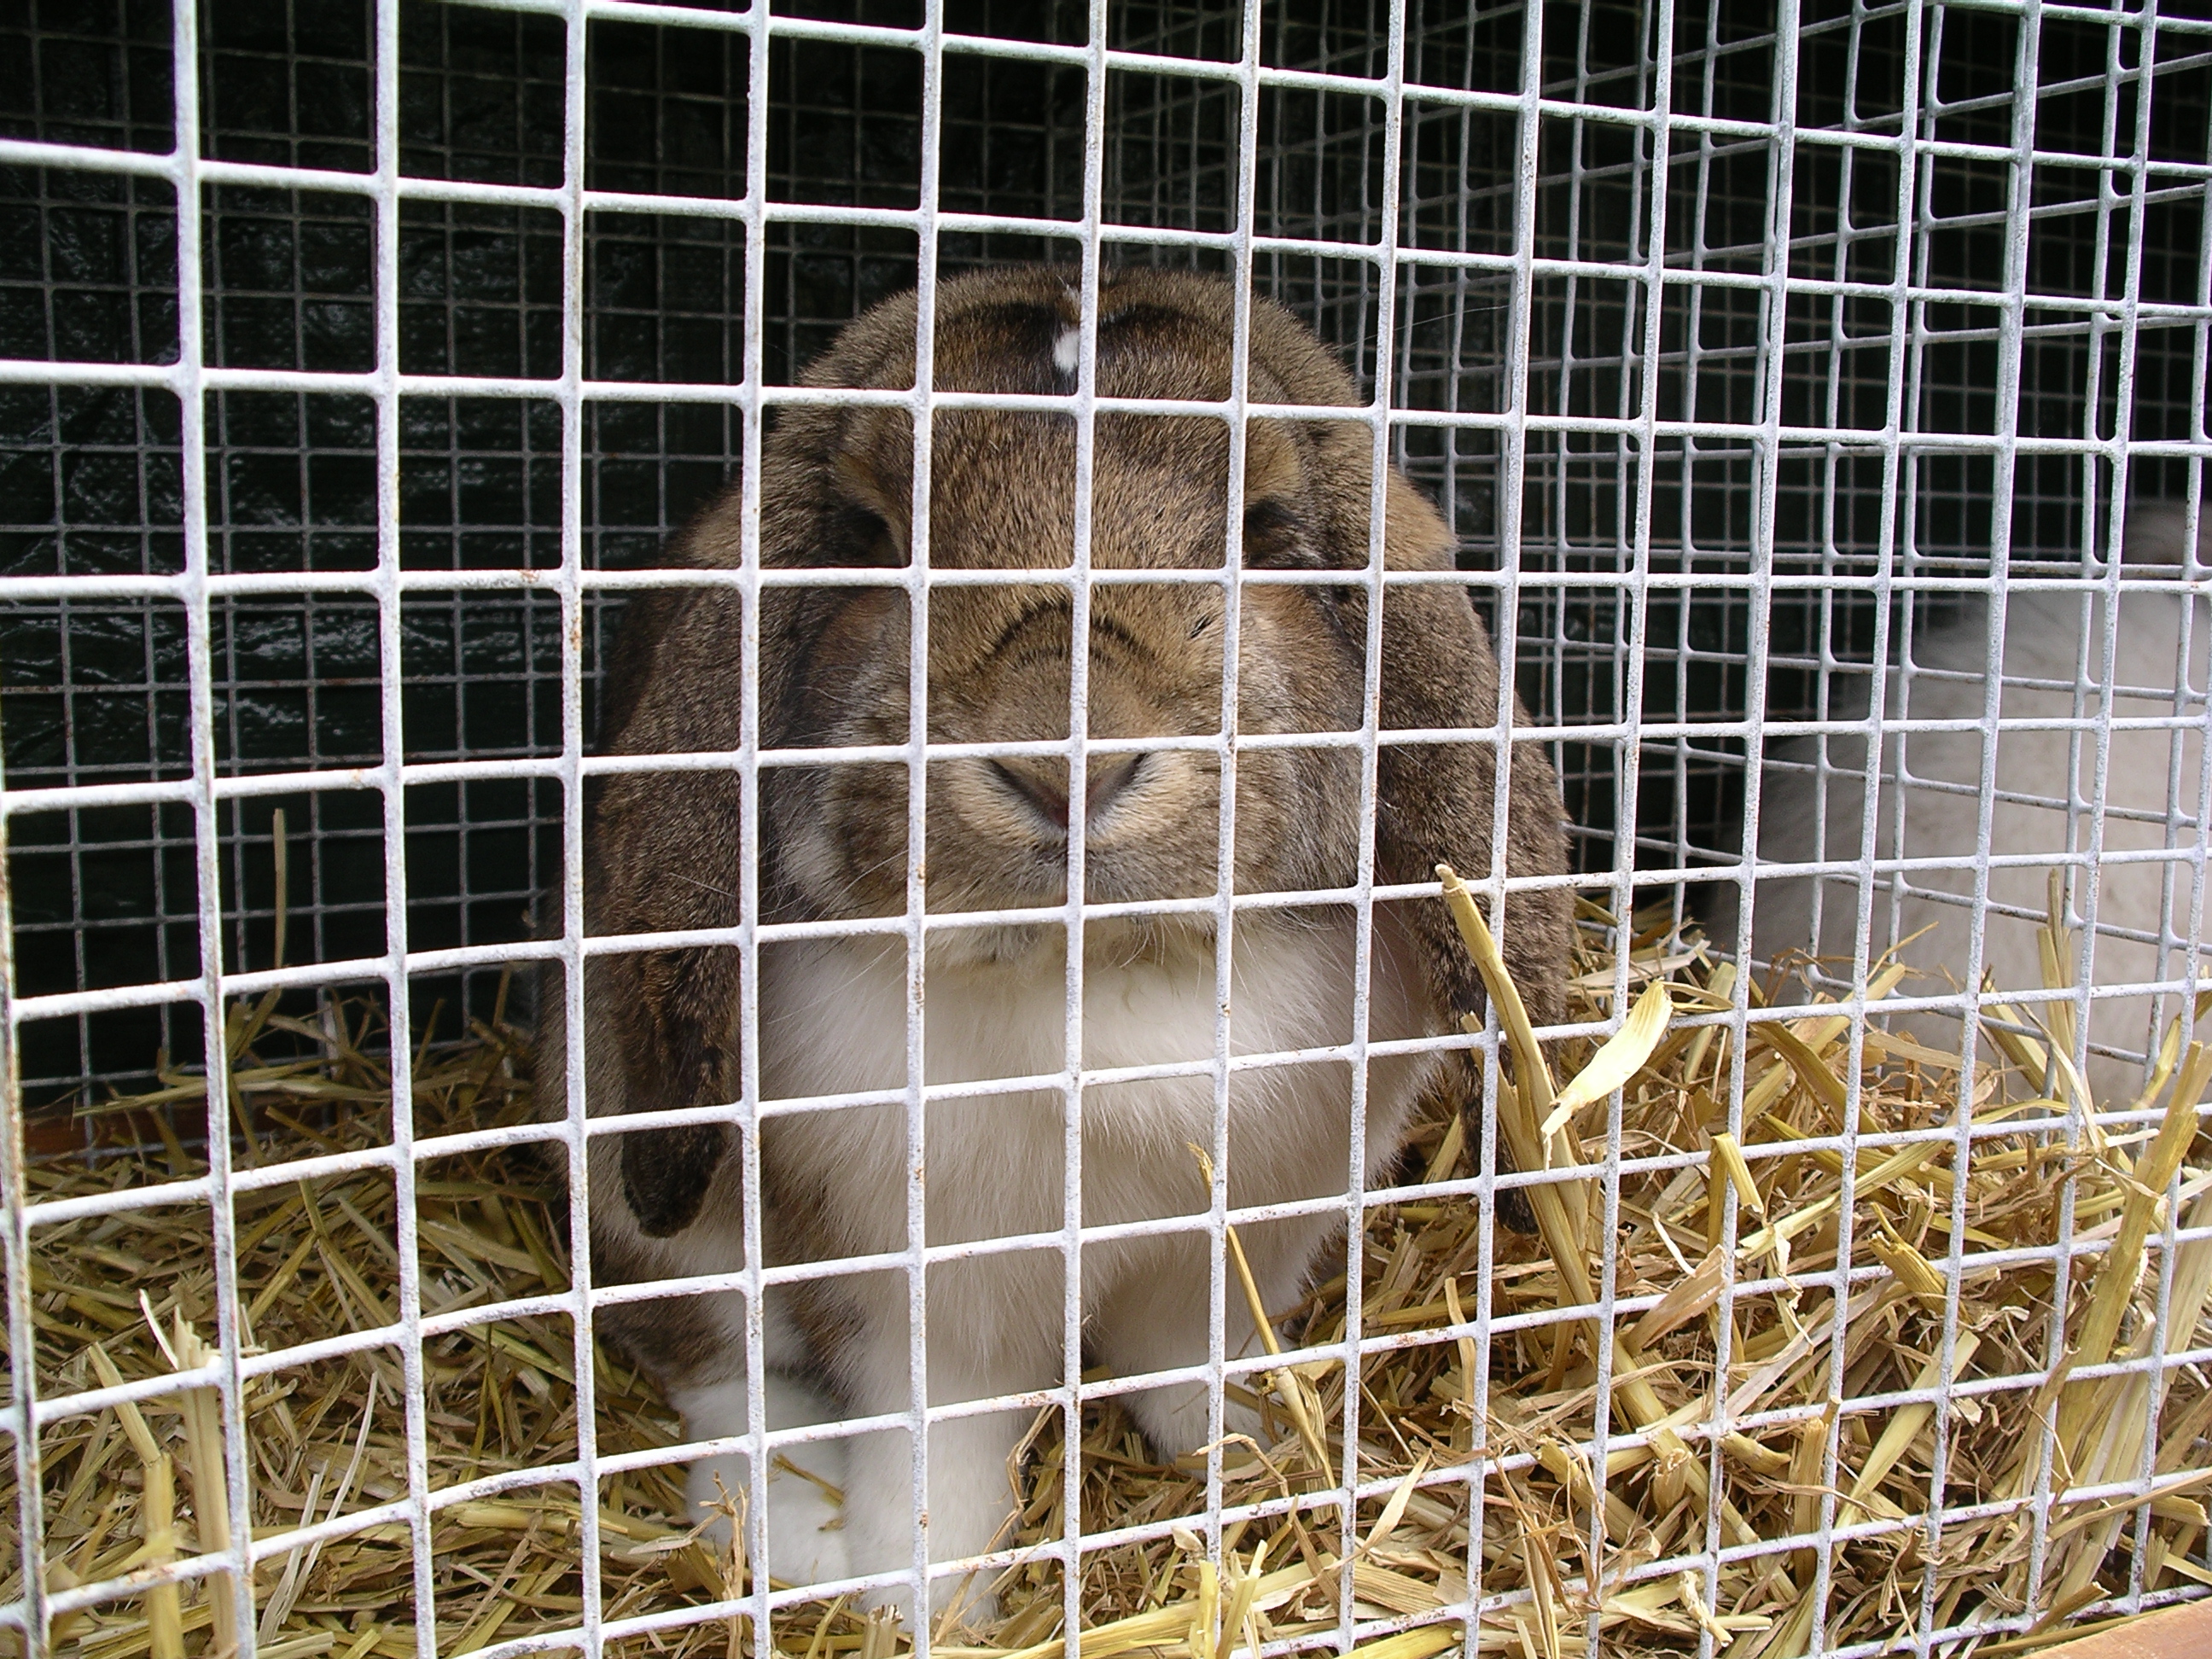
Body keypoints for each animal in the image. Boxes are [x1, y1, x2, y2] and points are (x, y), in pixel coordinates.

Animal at [533, 266, 1573, 1621]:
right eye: (874, 537)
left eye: (1263, 531)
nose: (1065, 767)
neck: (1100, 978)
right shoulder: (913, 1305)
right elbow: (937, 1466)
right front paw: (917, 1606)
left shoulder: (1234, 1255)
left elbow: (1186, 1378)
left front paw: (1252, 1461)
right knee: (719, 1368)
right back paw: (781, 1520)